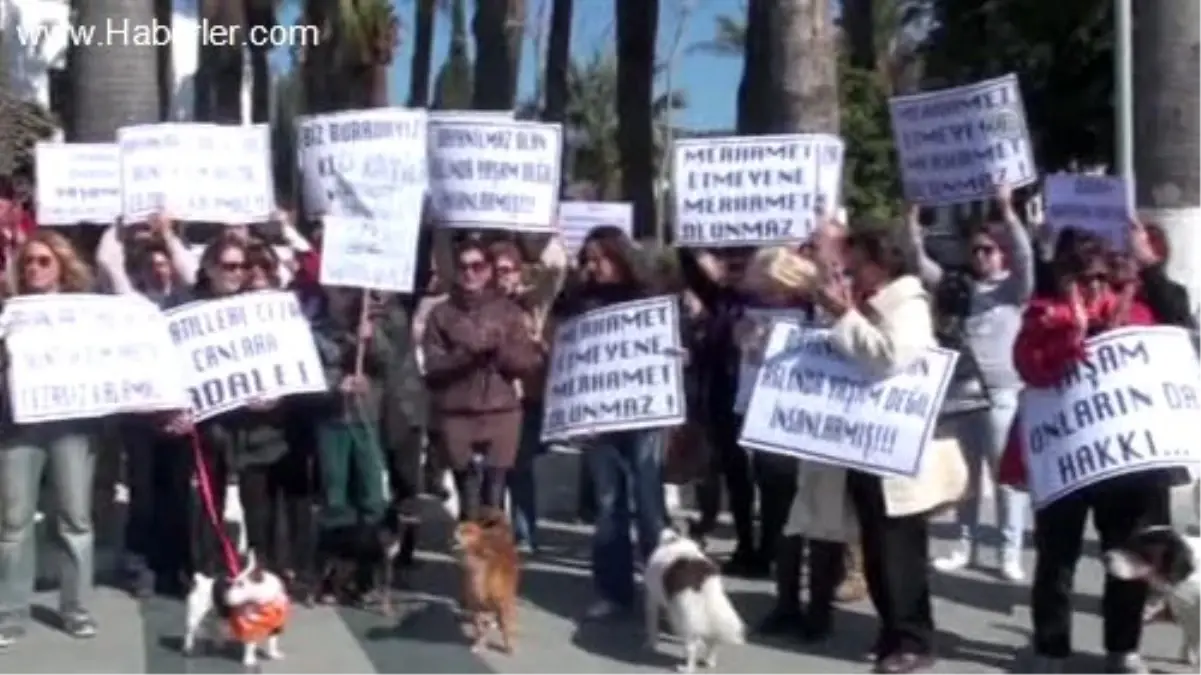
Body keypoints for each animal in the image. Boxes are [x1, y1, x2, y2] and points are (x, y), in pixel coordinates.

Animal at [451, 506, 518, 648]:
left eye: (468, 531)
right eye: (459, 528)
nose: (455, 533)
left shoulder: (502, 602)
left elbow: (503, 626)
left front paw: (508, 645)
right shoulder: (476, 604)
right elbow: (478, 626)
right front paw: (479, 642)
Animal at [643, 528, 744, 667]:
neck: (675, 542)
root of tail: (702, 579)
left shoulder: (652, 599)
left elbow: (651, 624)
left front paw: (650, 644)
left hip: (687, 616)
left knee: (691, 647)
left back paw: (686, 668)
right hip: (710, 611)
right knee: (712, 640)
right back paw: (709, 661)